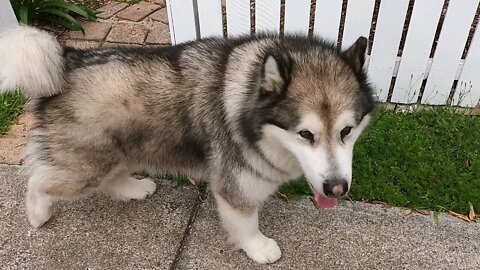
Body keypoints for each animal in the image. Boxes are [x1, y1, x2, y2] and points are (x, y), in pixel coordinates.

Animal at [0, 25, 376, 264]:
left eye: (346, 131)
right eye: (305, 134)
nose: (337, 188)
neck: (248, 103)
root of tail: (67, 61)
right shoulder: (233, 183)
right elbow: (245, 221)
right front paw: (258, 247)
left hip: (119, 151)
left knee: (112, 178)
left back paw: (134, 188)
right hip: (85, 166)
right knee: (38, 181)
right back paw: (37, 213)